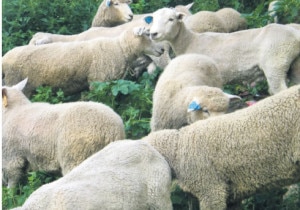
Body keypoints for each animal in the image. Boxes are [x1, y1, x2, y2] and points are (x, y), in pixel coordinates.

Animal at [2, 26, 164, 97]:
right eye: (147, 34)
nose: (162, 49)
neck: (119, 48)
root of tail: (4, 58)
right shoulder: (97, 83)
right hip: (16, 83)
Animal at [145, 7, 300, 94]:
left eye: (171, 19)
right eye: (153, 20)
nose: (153, 34)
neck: (189, 41)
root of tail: (295, 34)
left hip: (275, 62)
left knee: (280, 90)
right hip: (293, 65)